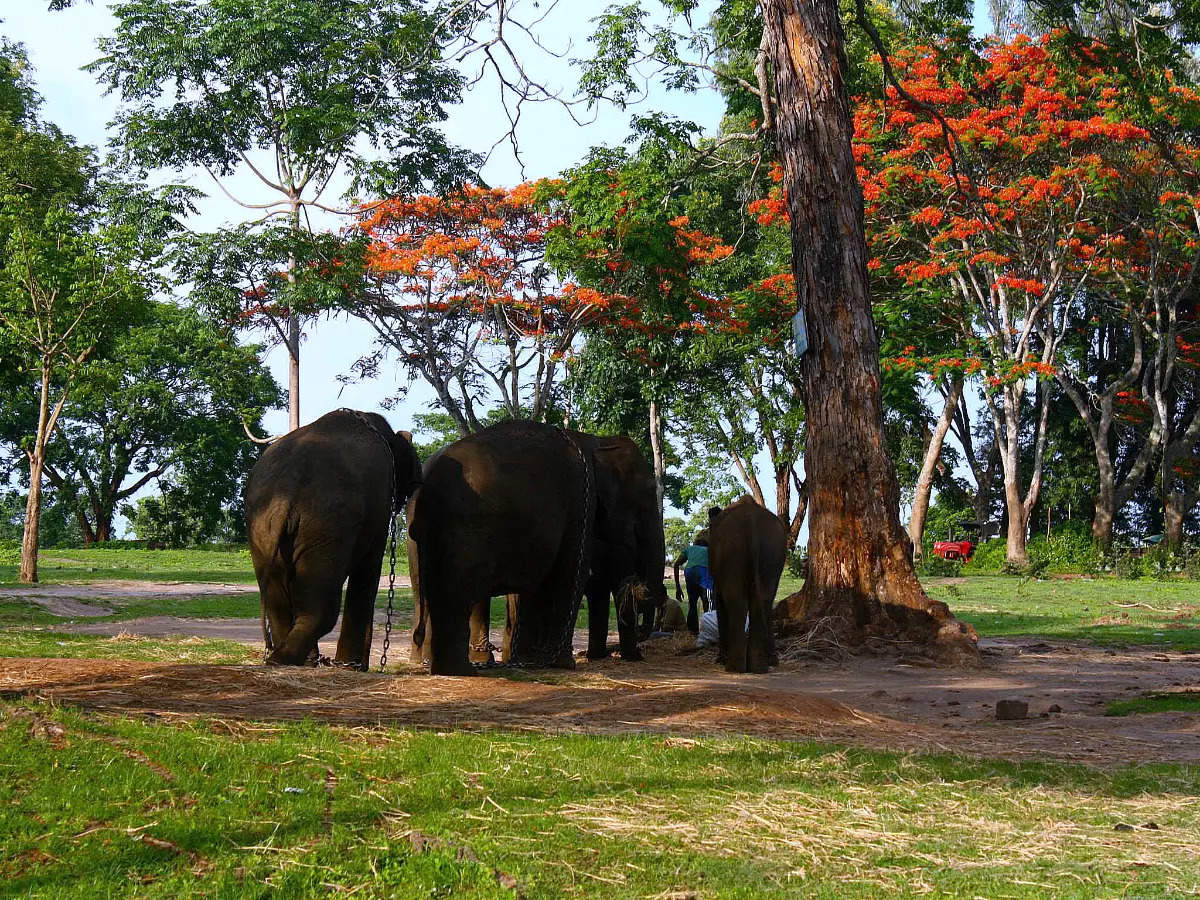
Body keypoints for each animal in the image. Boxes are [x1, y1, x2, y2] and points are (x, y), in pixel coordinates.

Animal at [243, 408, 422, 672]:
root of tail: (285, 494)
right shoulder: (380, 501)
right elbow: (369, 565)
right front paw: (353, 667)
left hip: (261, 527)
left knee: (279, 601)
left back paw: (290, 660)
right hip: (327, 526)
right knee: (322, 607)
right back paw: (289, 660)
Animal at [408, 422, 595, 676]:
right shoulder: (580, 502)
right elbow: (572, 573)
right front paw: (563, 664)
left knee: (427, 591)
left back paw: (434, 663)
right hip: (468, 527)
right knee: (458, 588)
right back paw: (461, 670)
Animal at [705, 496, 792, 672]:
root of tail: (751, 523)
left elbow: (720, 600)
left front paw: (720, 660)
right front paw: (773, 660)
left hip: (731, 553)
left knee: (736, 601)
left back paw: (734, 667)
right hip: (771, 552)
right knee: (764, 601)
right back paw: (759, 667)